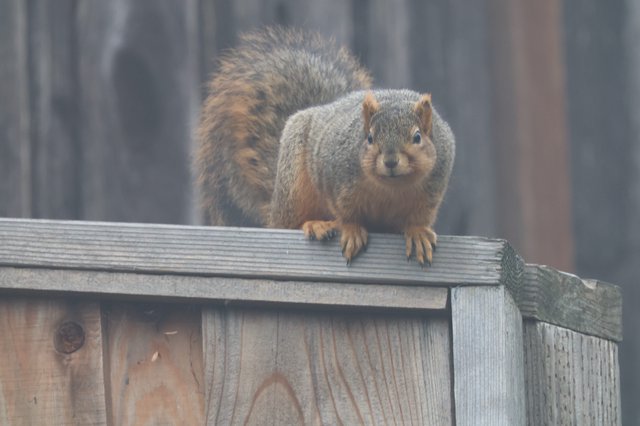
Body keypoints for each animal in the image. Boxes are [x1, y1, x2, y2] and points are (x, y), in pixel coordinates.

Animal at [196, 27, 455, 266]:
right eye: (369, 138)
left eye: (417, 137)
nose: (390, 161)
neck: (391, 187)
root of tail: (275, 206)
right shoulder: (334, 177)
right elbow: (345, 212)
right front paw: (351, 229)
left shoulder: (433, 188)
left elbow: (419, 218)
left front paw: (418, 233)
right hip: (294, 188)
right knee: (290, 223)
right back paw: (315, 224)